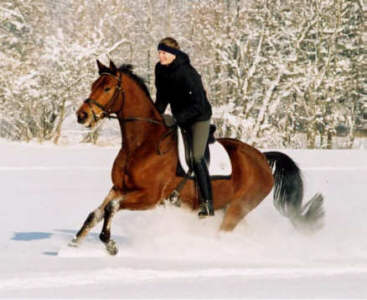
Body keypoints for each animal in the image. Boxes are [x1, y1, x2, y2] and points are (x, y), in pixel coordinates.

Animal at [72, 59, 324, 255]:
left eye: (106, 88)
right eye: (93, 85)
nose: (81, 116)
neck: (142, 143)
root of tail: (262, 157)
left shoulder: (149, 197)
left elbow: (110, 208)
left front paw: (109, 243)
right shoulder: (119, 188)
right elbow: (96, 212)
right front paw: (74, 244)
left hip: (236, 209)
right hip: (230, 208)